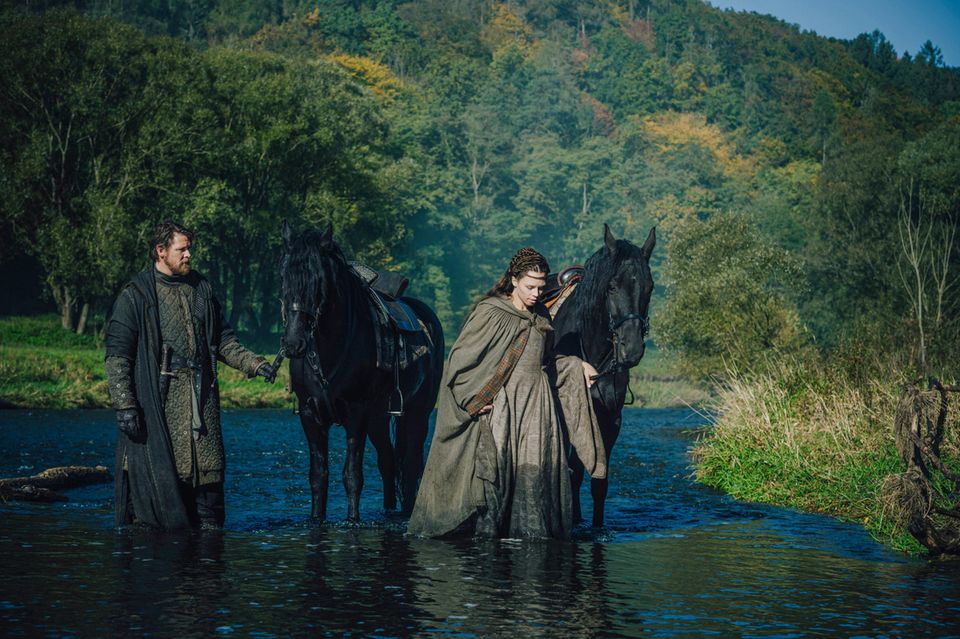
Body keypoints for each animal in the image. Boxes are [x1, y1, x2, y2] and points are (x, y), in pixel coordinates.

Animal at [552, 222, 656, 528]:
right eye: (611, 286)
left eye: (650, 287)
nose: (631, 349)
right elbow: (572, 470)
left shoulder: (610, 420)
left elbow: (599, 481)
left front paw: (597, 527)